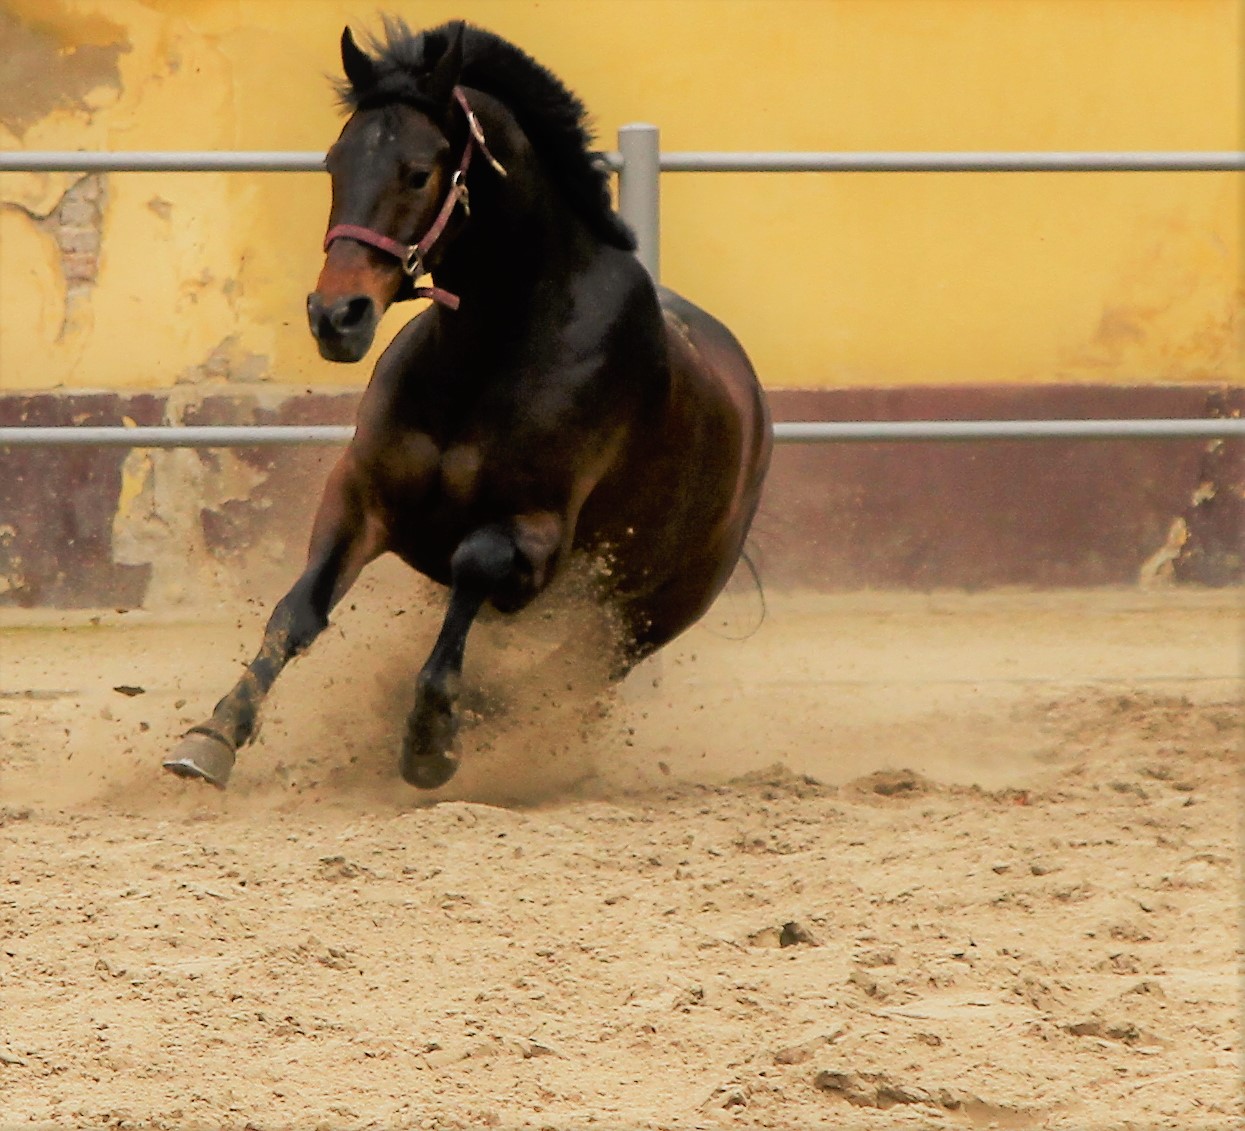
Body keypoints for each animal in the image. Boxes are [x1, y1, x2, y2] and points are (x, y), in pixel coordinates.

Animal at [165, 19, 766, 797]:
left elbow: (472, 564)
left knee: (573, 676)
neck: (491, 348)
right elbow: (298, 612)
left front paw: (430, 740)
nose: (336, 316)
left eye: (419, 172)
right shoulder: (361, 494)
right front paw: (211, 736)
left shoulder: (535, 534)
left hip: (644, 617)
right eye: (334, 162)